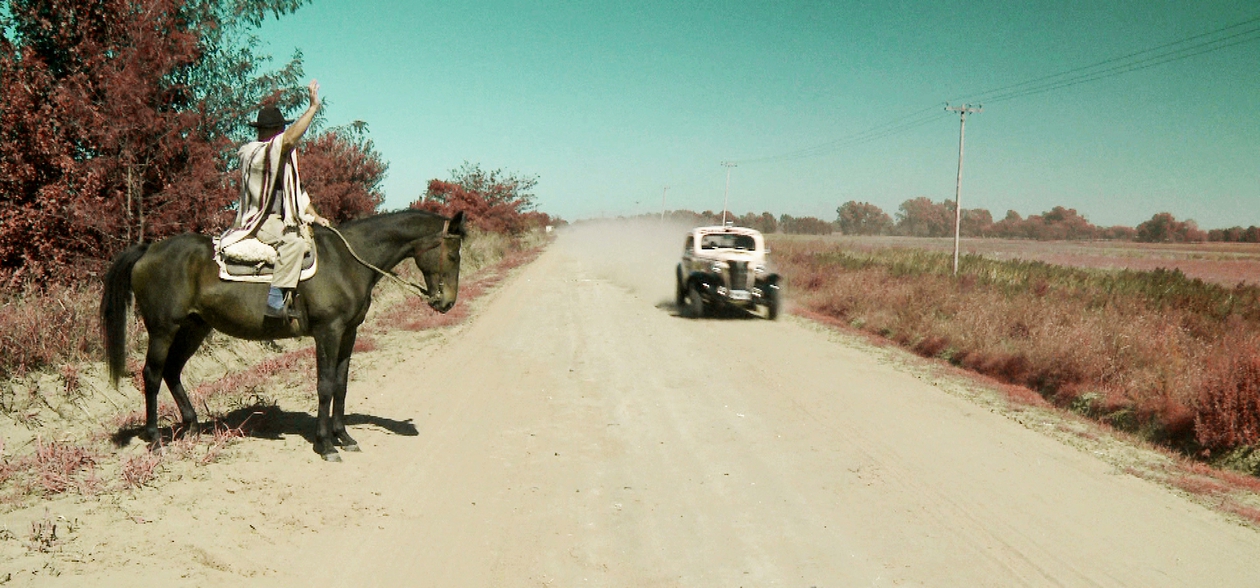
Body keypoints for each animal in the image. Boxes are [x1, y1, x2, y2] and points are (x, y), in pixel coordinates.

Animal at [98, 209, 463, 463]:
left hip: (194, 327)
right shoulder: (328, 332)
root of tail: (148, 251)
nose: (446, 302)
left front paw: (343, 436)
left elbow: (341, 385)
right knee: (152, 375)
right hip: (163, 329)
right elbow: (325, 385)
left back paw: (192, 426)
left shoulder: (348, 333)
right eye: (453, 254)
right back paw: (155, 438)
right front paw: (326, 444)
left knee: (172, 371)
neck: (348, 261)